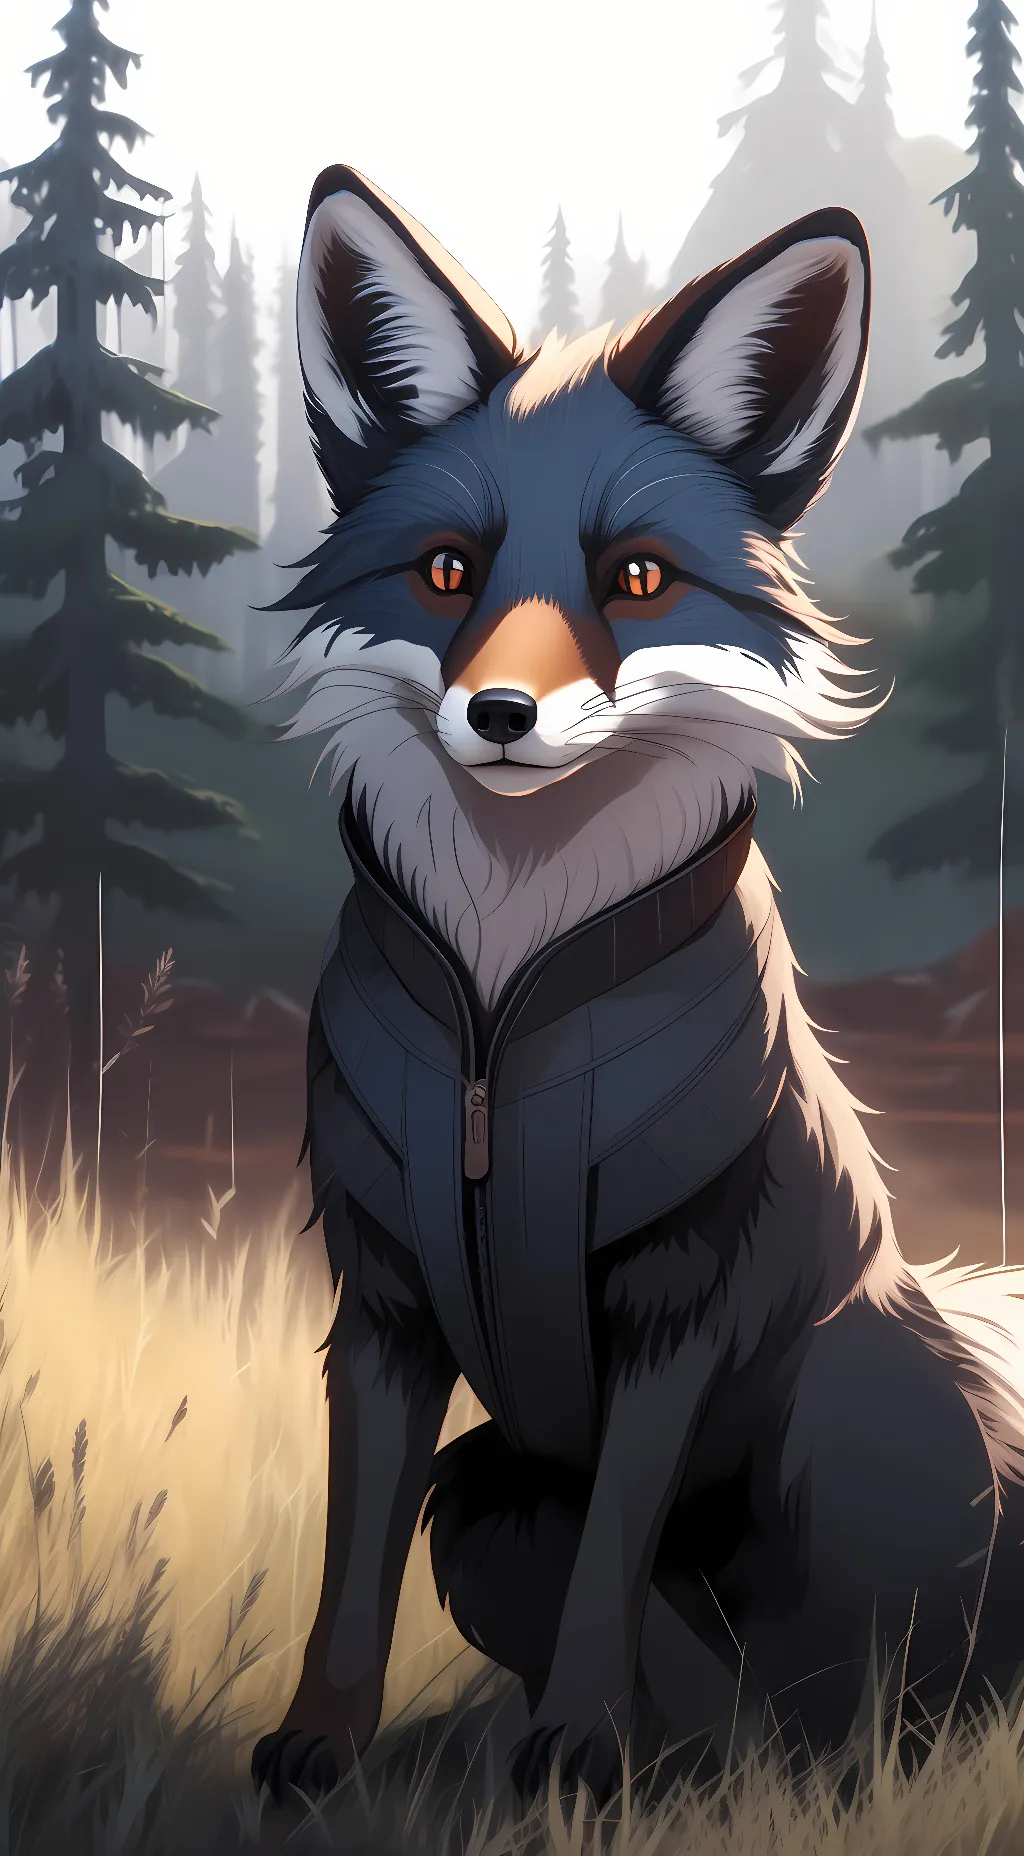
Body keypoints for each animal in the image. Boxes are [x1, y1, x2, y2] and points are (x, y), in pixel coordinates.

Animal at [252, 165, 1024, 1808]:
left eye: (638, 581)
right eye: (449, 571)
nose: (500, 713)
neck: (501, 1006)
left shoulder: (684, 1297)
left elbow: (615, 1547)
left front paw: (575, 1754)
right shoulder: (382, 1303)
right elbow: (354, 1566)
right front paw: (319, 1750)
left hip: (842, 1416)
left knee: (875, 1700)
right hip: (484, 1495)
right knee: (722, 1698)